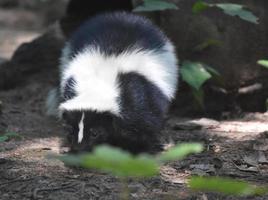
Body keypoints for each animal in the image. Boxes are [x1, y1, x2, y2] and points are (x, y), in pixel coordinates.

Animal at [47, 12, 178, 153]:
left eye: (95, 132)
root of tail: (122, 16)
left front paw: (144, 148)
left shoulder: (137, 94)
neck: (98, 82)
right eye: (71, 131)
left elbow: (145, 124)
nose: (79, 147)